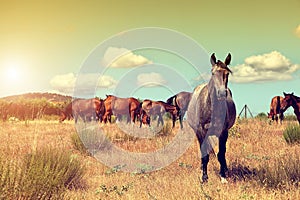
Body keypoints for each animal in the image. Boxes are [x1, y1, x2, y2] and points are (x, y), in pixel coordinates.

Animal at [186, 52, 236, 183]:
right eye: (213, 73)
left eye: (227, 73)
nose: (222, 93)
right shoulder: (201, 131)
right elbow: (205, 155)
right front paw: (204, 178)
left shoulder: (223, 132)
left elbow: (221, 154)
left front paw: (223, 176)